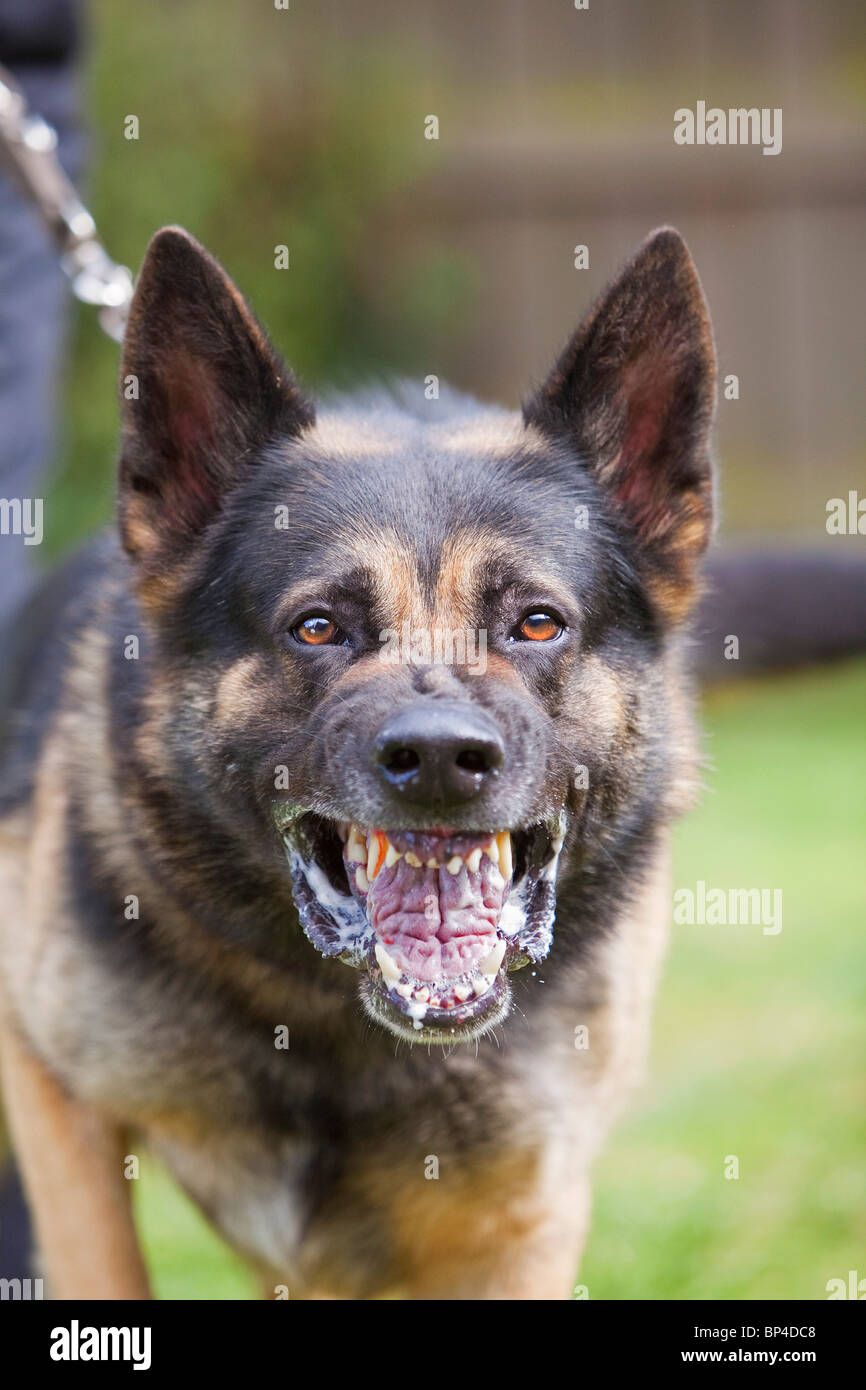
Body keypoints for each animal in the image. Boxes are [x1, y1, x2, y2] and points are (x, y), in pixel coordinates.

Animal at [0, 222, 717, 1295]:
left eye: (537, 623)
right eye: (318, 627)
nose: (440, 759)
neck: (334, 1019)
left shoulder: (520, 1218)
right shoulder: (53, 1094)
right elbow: (100, 1263)